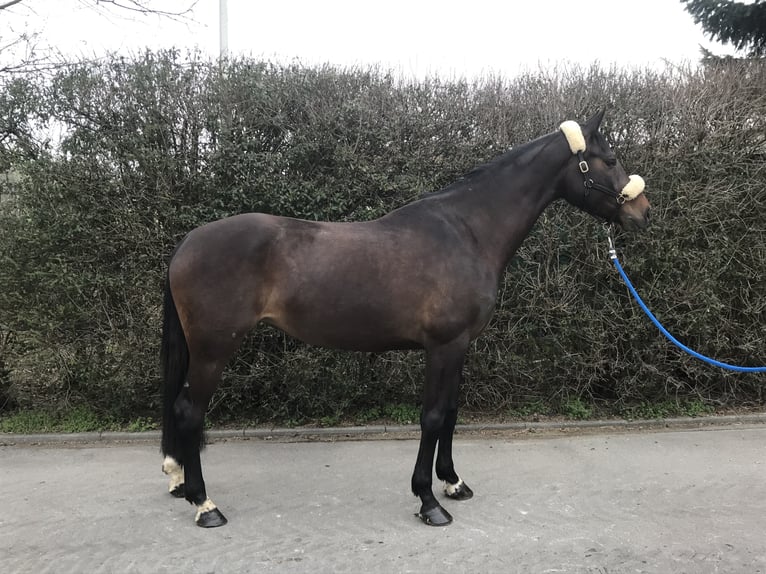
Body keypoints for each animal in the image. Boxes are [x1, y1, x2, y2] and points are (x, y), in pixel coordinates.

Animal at [160, 110, 651, 528]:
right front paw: (429, 502)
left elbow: (451, 411)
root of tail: (188, 243)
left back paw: (182, 484)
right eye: (609, 159)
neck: (468, 231)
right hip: (213, 349)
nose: (642, 212)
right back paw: (205, 504)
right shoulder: (443, 346)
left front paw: (453, 482)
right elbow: (432, 417)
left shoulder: (460, 346)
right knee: (189, 411)